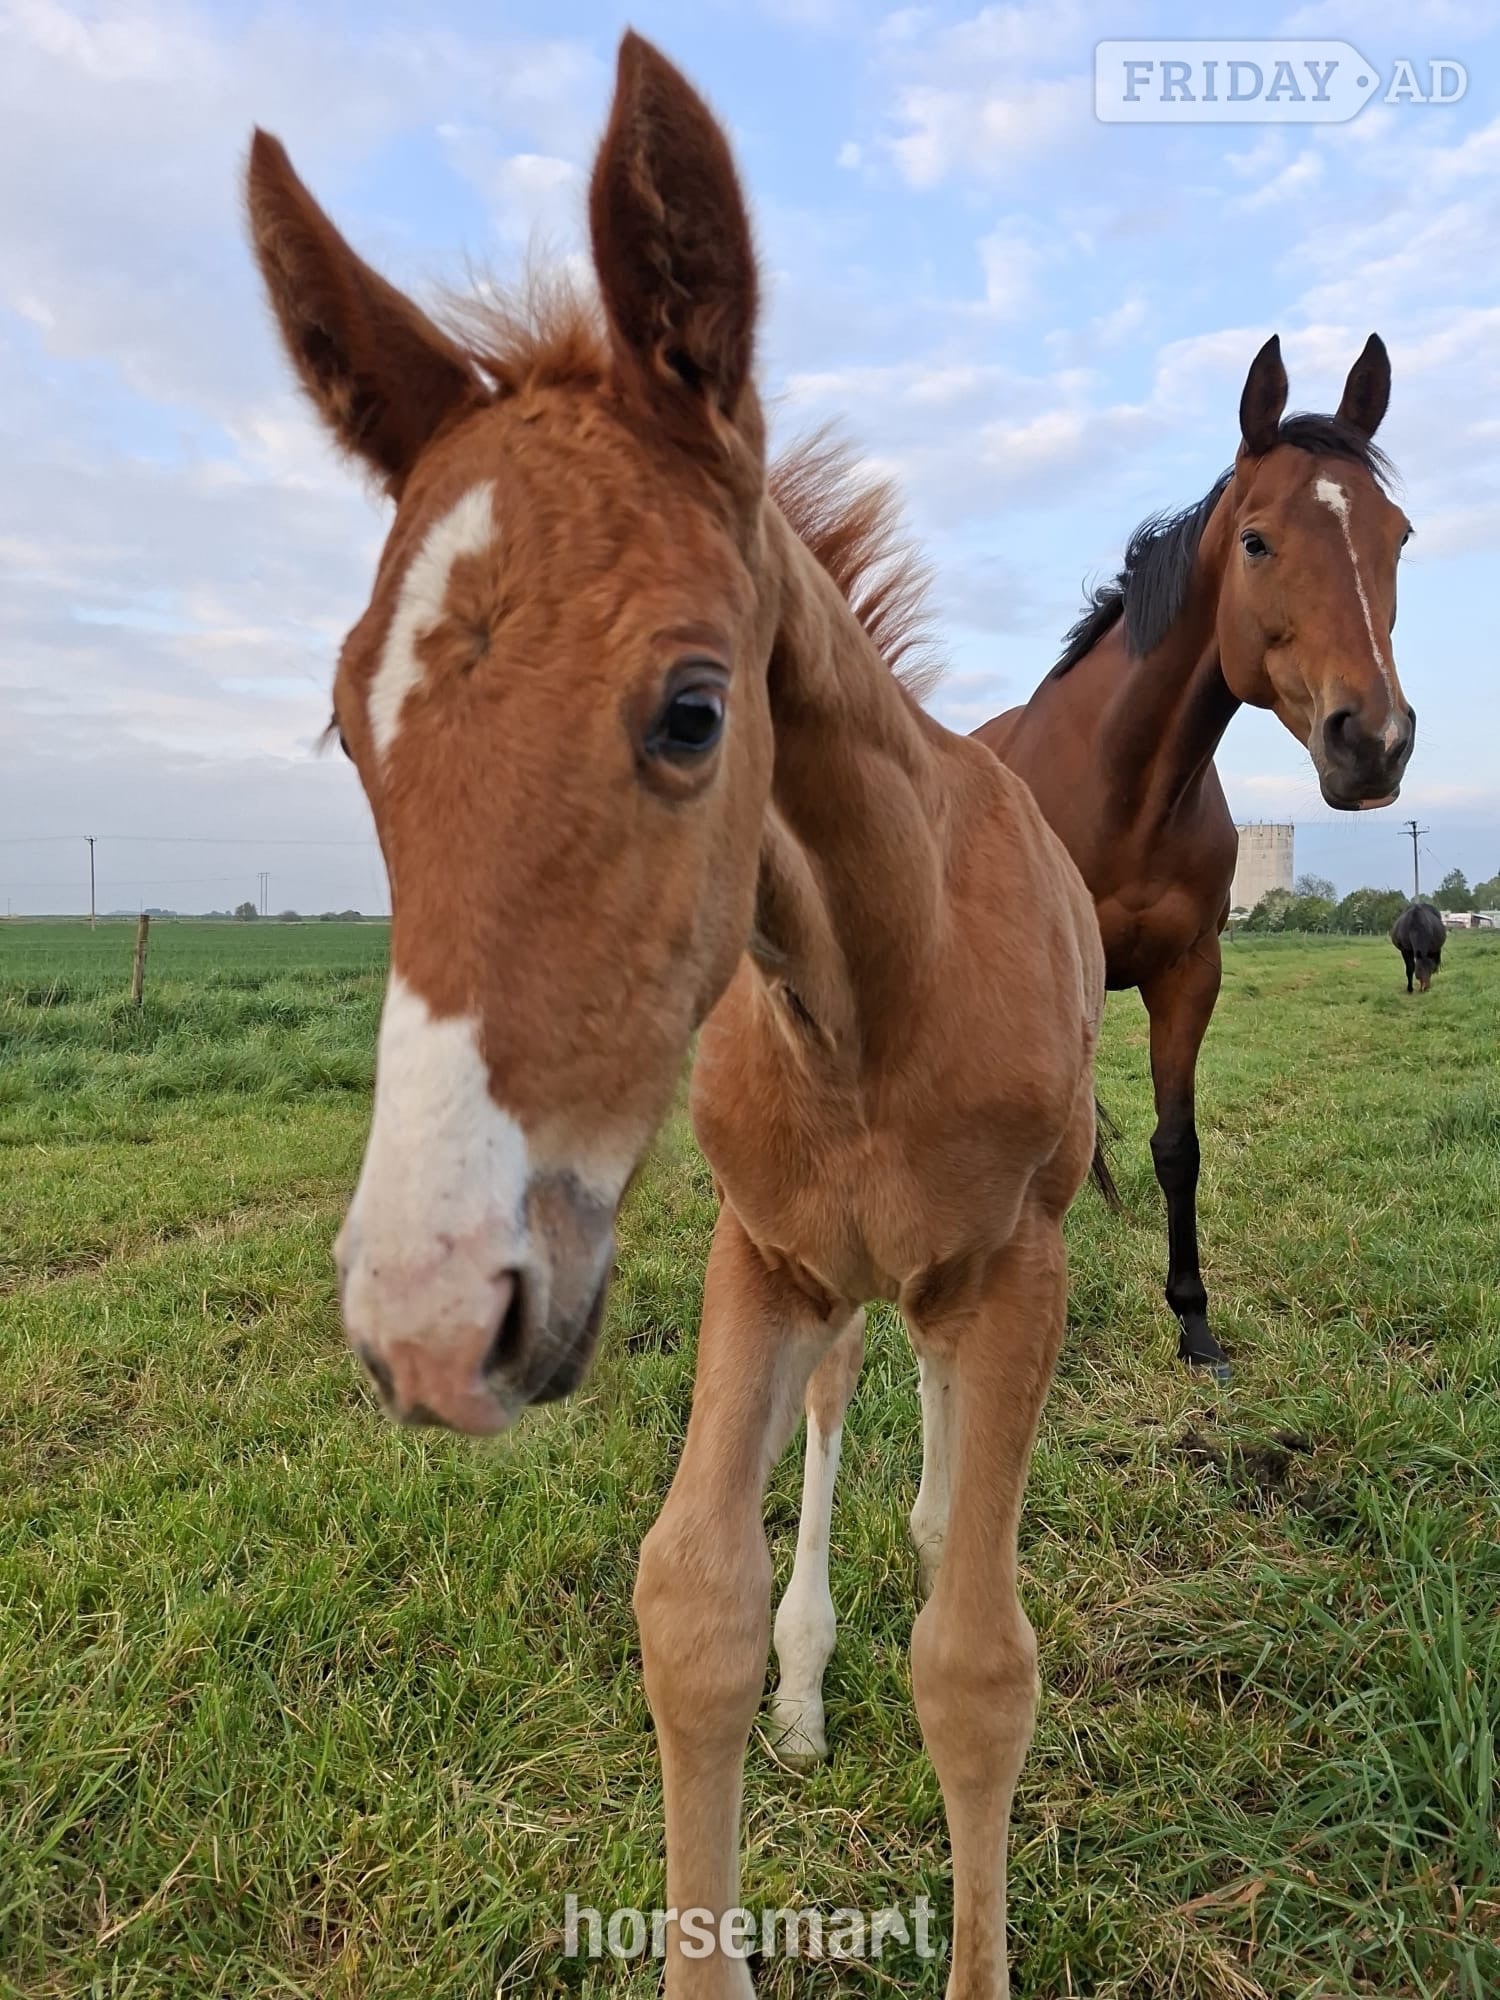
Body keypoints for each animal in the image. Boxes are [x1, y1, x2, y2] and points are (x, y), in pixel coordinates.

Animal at [247, 34, 1102, 1997]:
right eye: (351, 723)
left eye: (694, 710)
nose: (428, 1321)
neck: (871, 1009)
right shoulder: (757, 1257)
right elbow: (686, 1607)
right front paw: (771, 1685)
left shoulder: (1012, 1263)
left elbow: (981, 1661)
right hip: (828, 1276)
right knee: (853, 1402)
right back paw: (811, 1676)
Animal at [971, 337, 1416, 1377]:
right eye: (1255, 541)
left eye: (1401, 536)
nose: (1373, 742)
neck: (1125, 788)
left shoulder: (1189, 971)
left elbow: (1178, 1144)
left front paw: (1194, 1319)